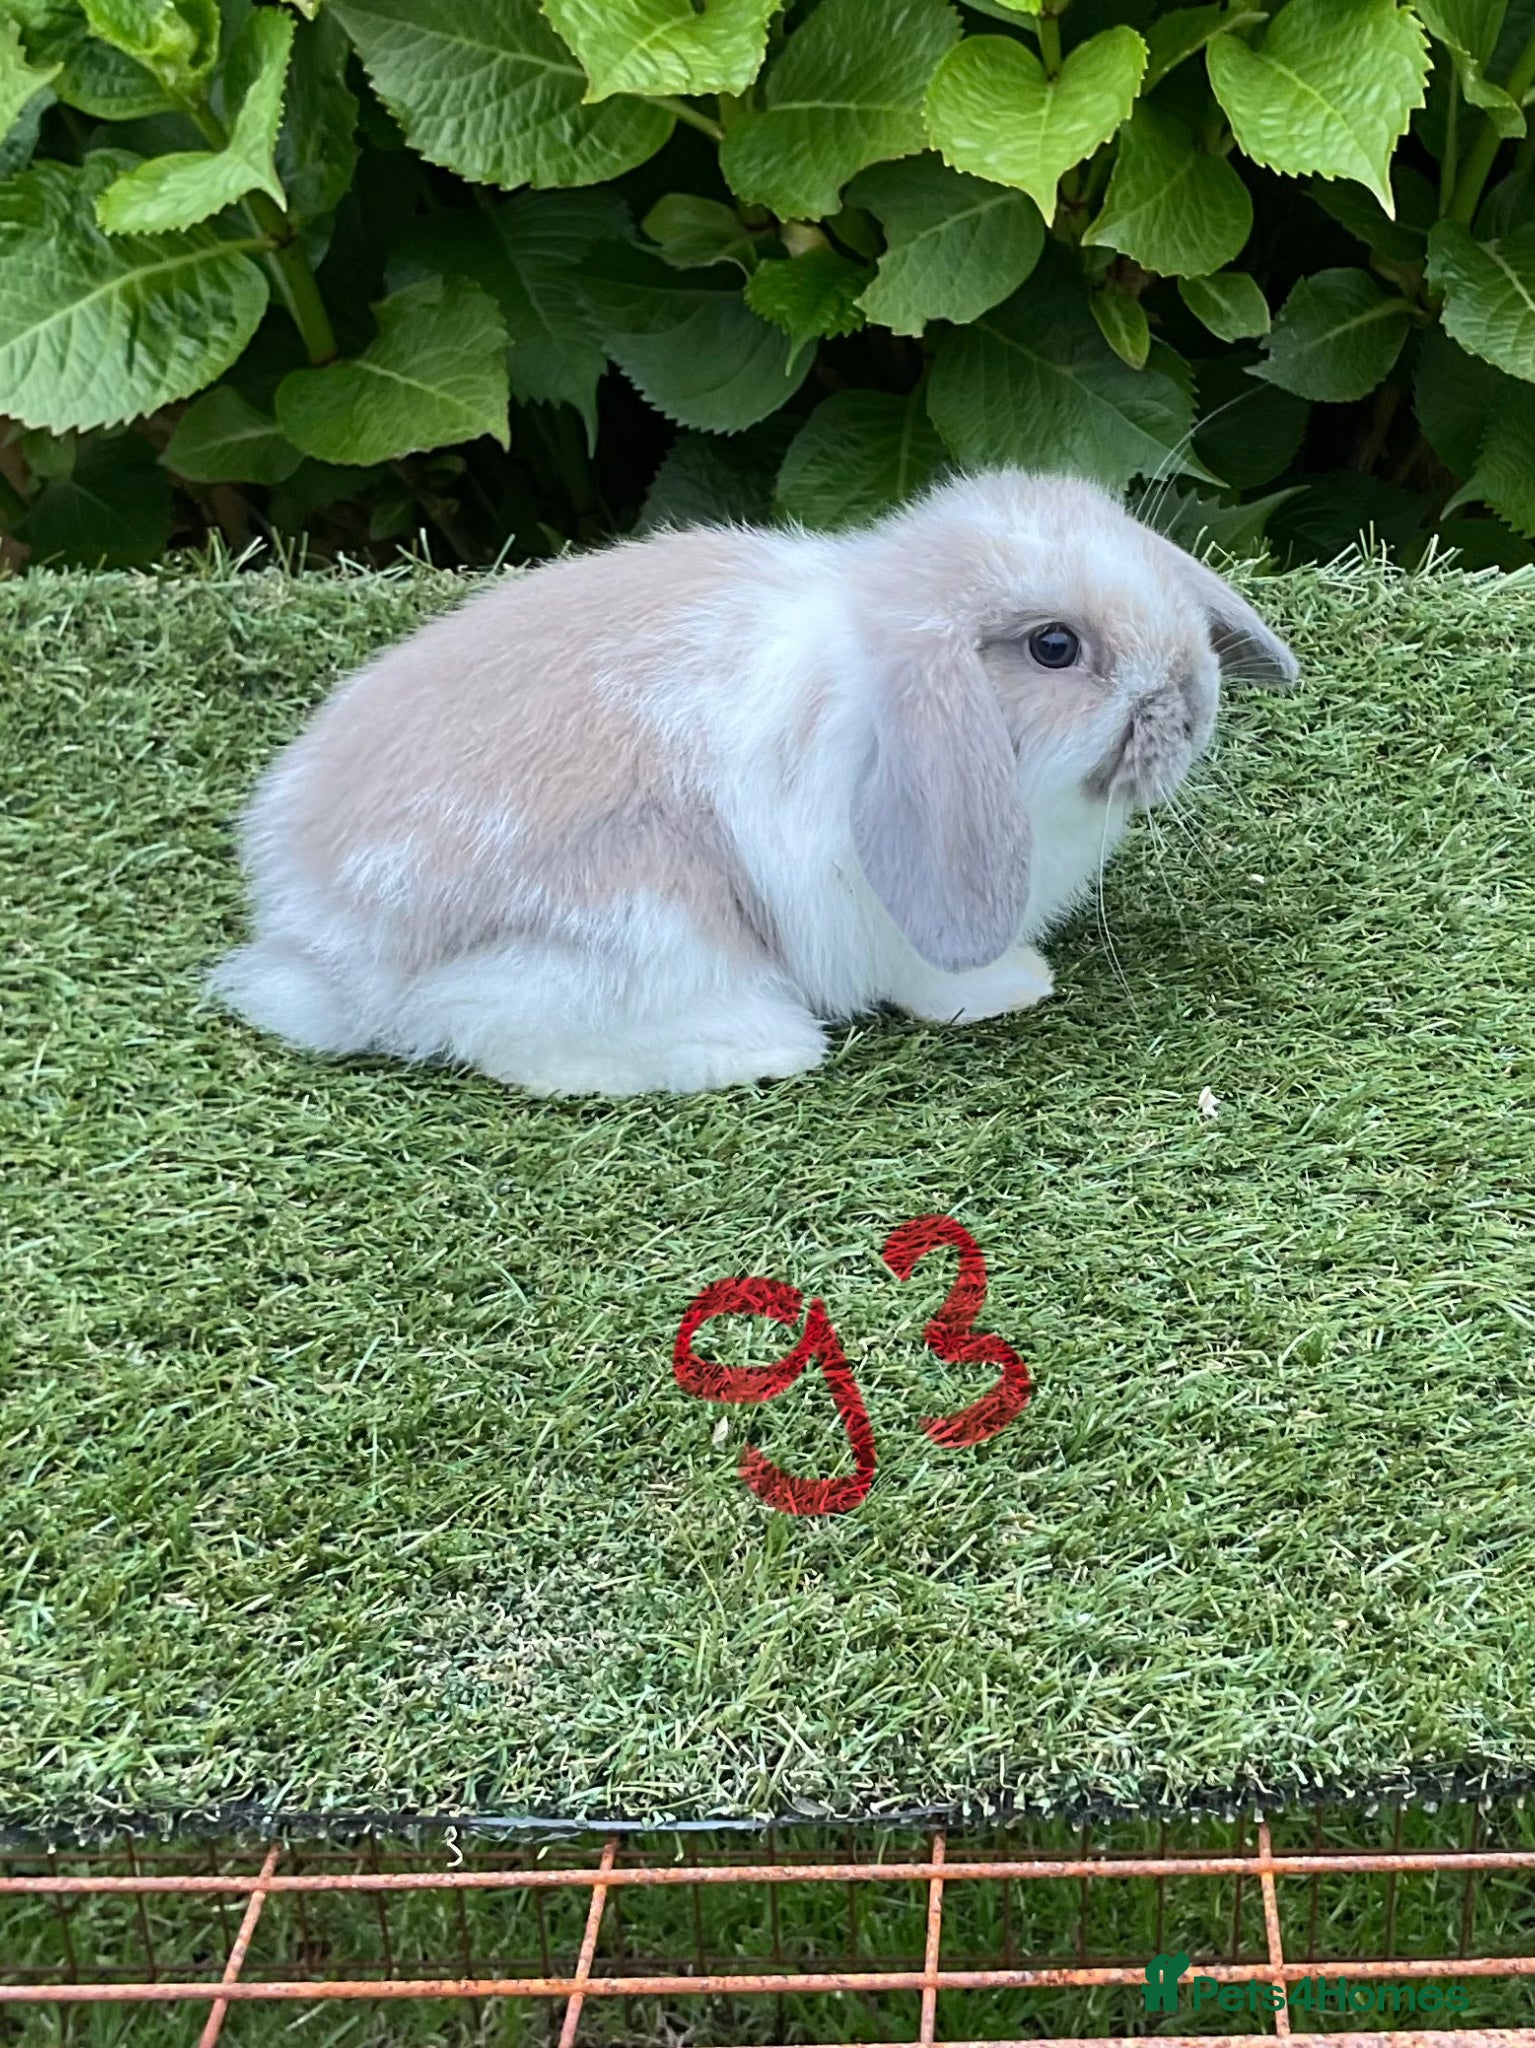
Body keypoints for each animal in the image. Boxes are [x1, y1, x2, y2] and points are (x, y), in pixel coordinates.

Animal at [209, 469, 1297, 1099]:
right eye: (1055, 646)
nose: (1191, 702)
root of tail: (320, 949)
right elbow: (931, 974)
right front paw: (1011, 985)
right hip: (644, 914)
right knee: (487, 1021)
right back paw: (762, 1045)